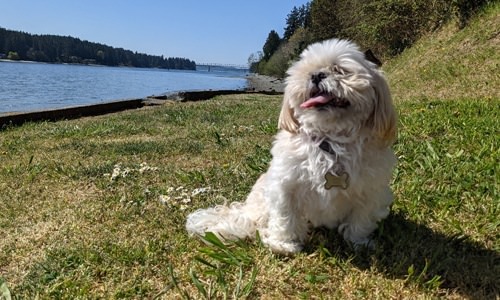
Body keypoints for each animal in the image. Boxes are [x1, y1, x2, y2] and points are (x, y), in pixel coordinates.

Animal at [186, 37, 396, 253]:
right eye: (307, 71)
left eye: (339, 69)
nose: (316, 75)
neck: (329, 140)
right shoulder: (286, 185)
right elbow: (285, 216)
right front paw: (283, 244)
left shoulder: (371, 190)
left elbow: (361, 219)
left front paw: (359, 242)